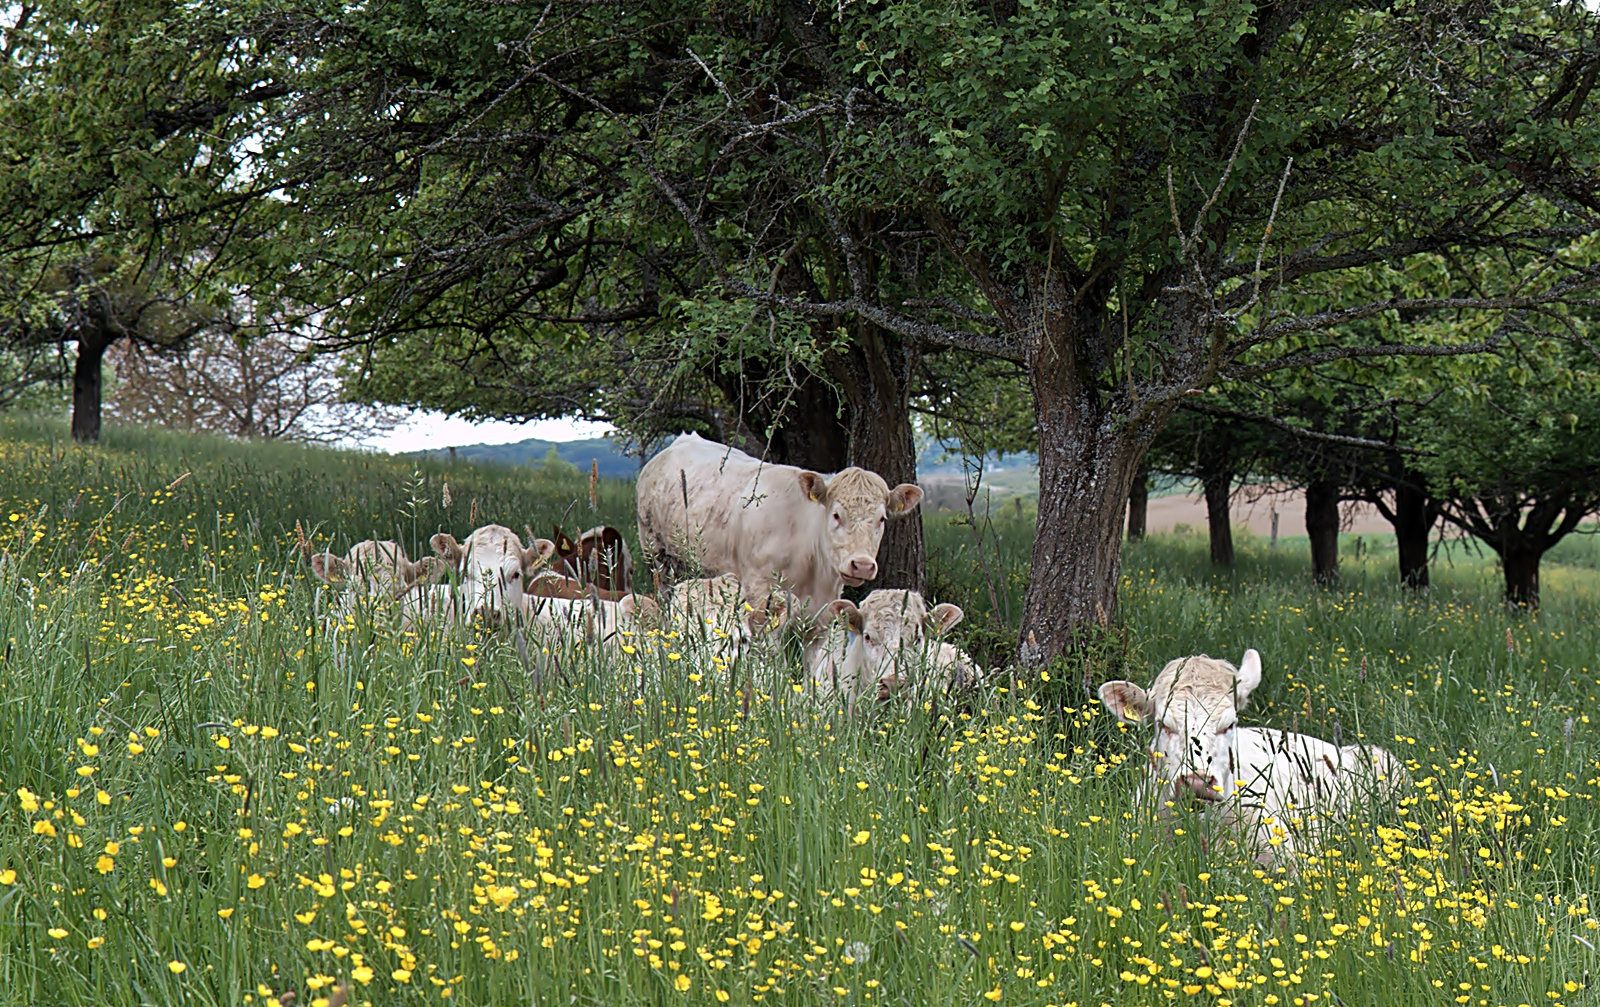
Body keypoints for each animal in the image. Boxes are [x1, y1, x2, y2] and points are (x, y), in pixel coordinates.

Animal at [630, 435, 921, 624]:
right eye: (836, 515)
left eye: (881, 519)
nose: (861, 565)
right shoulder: (761, 598)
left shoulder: (824, 612)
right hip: (658, 560)